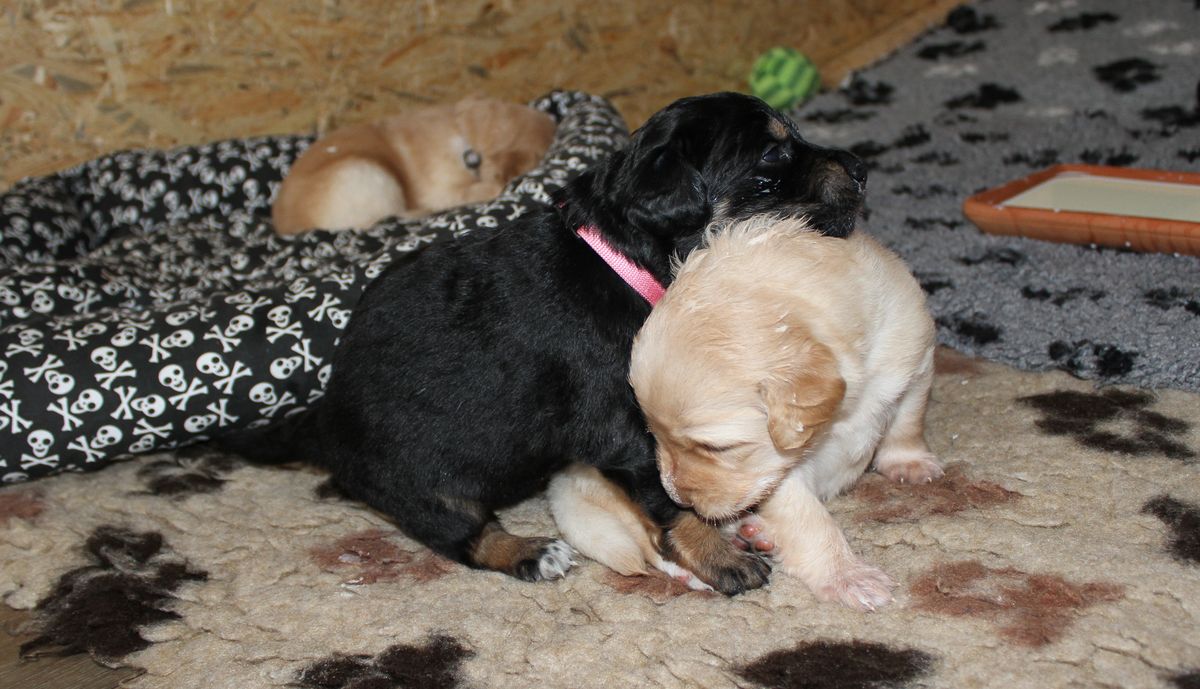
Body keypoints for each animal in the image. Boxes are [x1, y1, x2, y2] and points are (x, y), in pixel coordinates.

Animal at [551, 215, 941, 609]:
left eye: (715, 448)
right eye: (652, 433)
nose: (678, 497)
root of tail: (563, 478)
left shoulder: (915, 360)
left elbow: (908, 419)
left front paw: (909, 463)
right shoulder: (777, 474)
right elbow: (810, 520)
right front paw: (847, 576)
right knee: (651, 542)